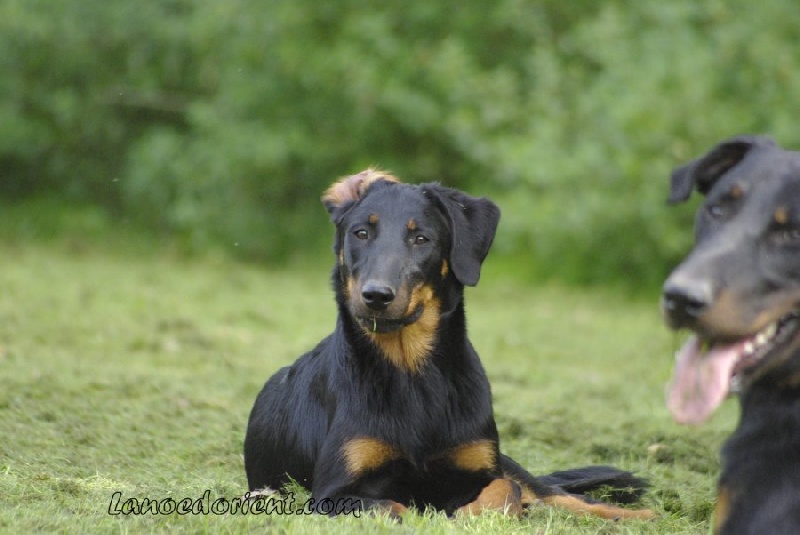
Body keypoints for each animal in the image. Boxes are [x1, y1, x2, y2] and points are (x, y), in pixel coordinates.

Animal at [245, 171, 656, 520]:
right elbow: (395, 507)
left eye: (421, 238)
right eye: (360, 233)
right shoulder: (331, 494)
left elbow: (504, 489)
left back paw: (635, 515)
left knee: (554, 493)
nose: (375, 296)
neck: (412, 373)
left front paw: (475, 512)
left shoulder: (479, 466)